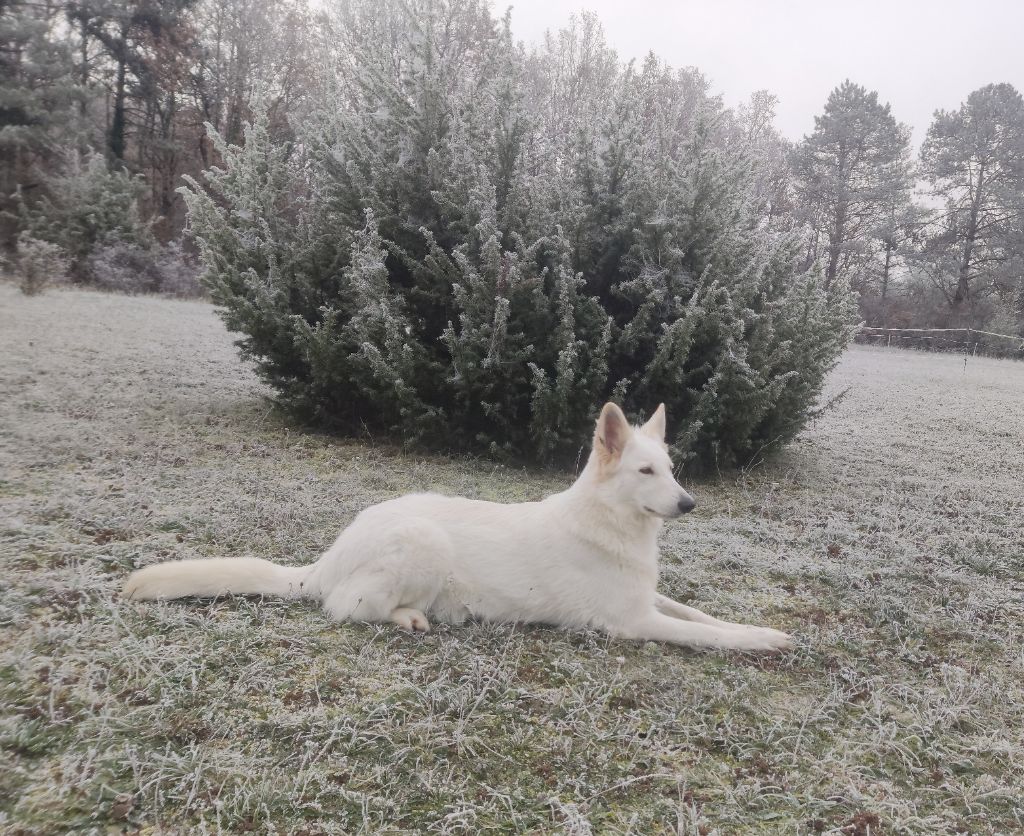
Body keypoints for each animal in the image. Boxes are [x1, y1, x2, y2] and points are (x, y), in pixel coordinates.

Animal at [119, 405, 790, 651]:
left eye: (672, 470)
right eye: (645, 471)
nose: (690, 503)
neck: (607, 523)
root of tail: (328, 557)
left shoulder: (650, 599)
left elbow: (699, 613)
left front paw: (763, 626)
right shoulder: (631, 622)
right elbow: (712, 636)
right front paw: (765, 640)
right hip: (421, 544)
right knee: (347, 606)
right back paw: (408, 618)